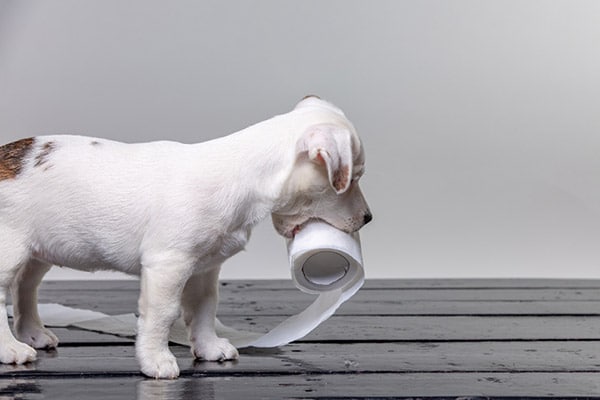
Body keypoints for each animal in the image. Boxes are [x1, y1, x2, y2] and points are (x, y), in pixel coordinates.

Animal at [0, 97, 370, 378]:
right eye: (352, 179)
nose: (368, 218)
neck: (241, 175)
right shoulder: (168, 267)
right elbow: (163, 315)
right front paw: (156, 360)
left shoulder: (205, 269)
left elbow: (204, 308)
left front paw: (208, 347)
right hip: (9, 253)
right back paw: (11, 348)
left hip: (38, 251)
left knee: (26, 287)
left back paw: (33, 332)